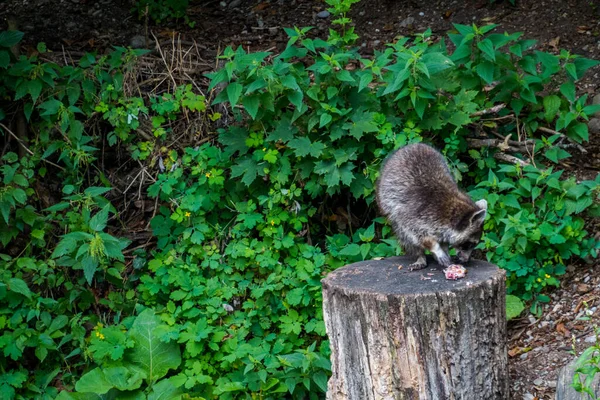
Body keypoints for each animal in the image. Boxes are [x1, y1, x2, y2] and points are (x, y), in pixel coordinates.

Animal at [380, 142, 488, 270]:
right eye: (469, 244)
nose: (467, 260)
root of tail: (413, 144)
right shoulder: (411, 214)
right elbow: (418, 236)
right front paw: (436, 249)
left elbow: (444, 239)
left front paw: (445, 249)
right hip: (388, 204)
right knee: (404, 235)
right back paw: (420, 256)